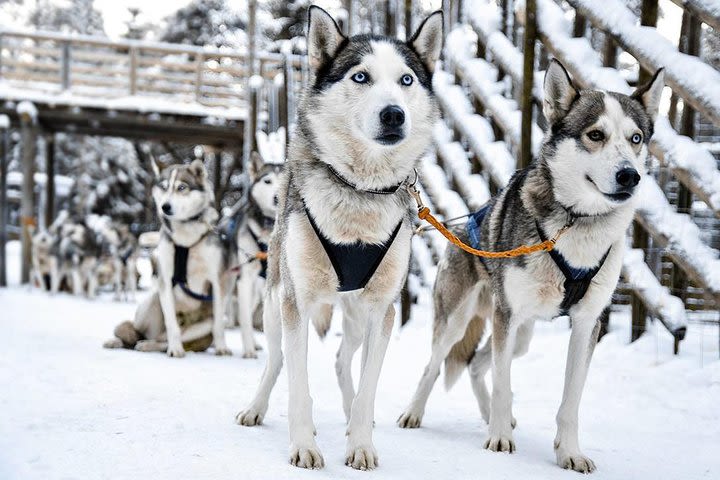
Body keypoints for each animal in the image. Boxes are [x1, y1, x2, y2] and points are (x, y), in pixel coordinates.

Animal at [103, 160, 236, 356]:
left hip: (202, 325)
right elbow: (171, 323)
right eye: (164, 187)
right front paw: (175, 350)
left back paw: (149, 345)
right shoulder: (165, 280)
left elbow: (219, 325)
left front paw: (221, 348)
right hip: (152, 300)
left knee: (162, 341)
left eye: (181, 187)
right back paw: (122, 341)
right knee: (138, 334)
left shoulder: (218, 282)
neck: (185, 240)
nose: (165, 206)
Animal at [236, 7, 442, 470]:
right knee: (275, 360)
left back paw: (348, 415)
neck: (359, 191)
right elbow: (297, 385)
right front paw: (304, 445)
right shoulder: (296, 302)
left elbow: (368, 388)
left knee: (342, 361)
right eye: (360, 76)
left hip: (355, 317)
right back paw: (255, 407)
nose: (394, 114)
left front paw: (361, 444)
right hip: (275, 303)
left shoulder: (382, 310)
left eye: (406, 79)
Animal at [394, 60, 664, 472]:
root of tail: (461, 224)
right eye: (595, 135)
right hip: (463, 320)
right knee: (437, 365)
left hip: (520, 334)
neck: (576, 223)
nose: (629, 175)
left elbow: (570, 401)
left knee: (477, 365)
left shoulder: (587, 323)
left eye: (636, 138)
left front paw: (569, 452)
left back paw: (494, 416)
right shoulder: (506, 315)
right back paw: (417, 413)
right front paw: (499, 439)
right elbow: (503, 384)